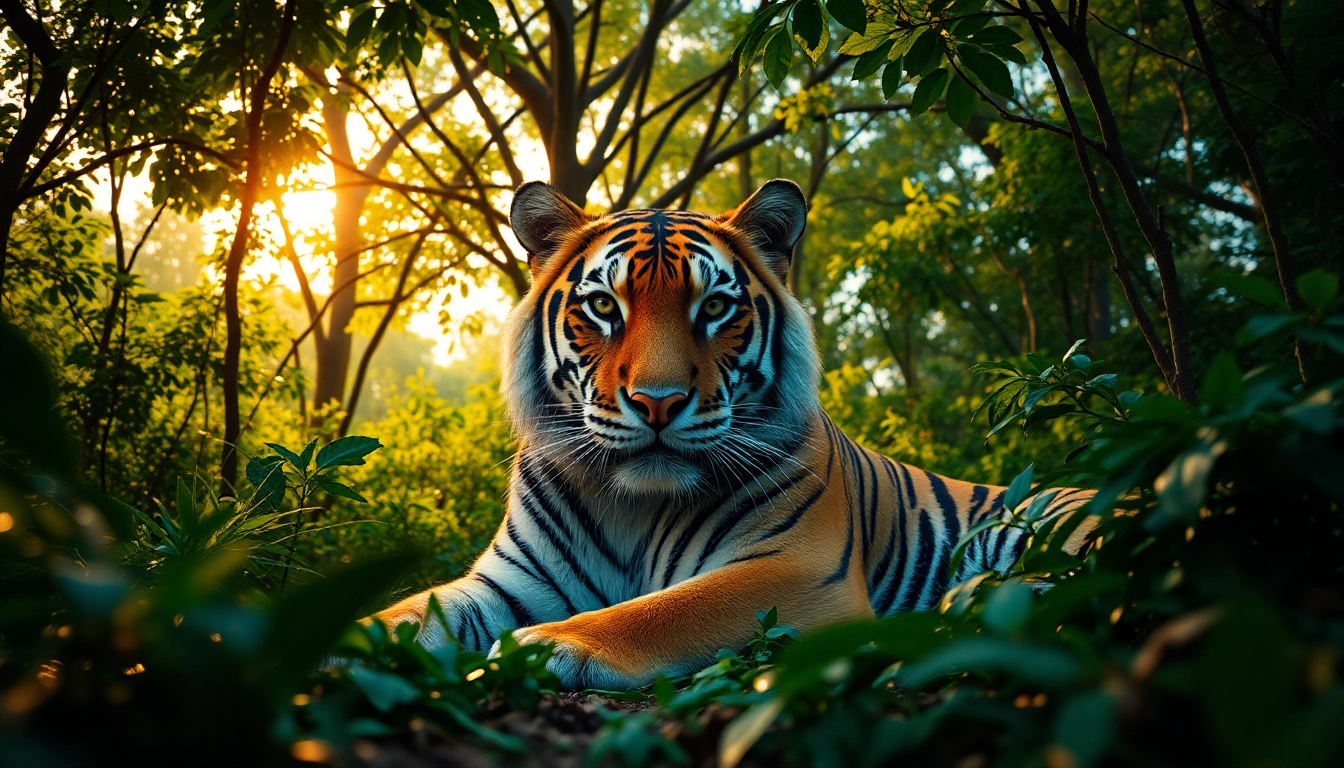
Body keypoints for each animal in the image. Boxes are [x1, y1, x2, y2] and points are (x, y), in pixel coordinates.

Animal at [372, 179, 1095, 690]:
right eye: (603, 306)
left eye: (715, 307)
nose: (657, 402)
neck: (633, 506)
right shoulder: (511, 579)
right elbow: (413, 612)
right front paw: (356, 638)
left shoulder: (799, 569)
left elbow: (666, 609)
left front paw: (547, 645)